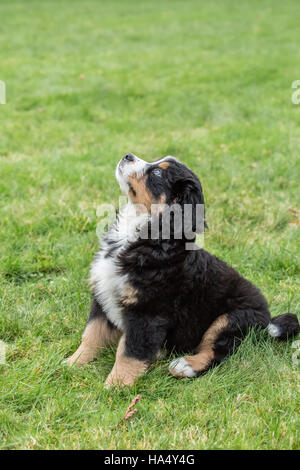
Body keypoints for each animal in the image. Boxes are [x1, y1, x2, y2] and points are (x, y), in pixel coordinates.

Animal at [66, 154, 300, 386]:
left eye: (157, 173)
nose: (127, 156)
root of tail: (267, 320)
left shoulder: (147, 312)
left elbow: (129, 352)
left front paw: (115, 386)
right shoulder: (102, 295)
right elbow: (92, 334)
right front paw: (72, 363)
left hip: (231, 319)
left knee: (217, 352)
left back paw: (186, 366)